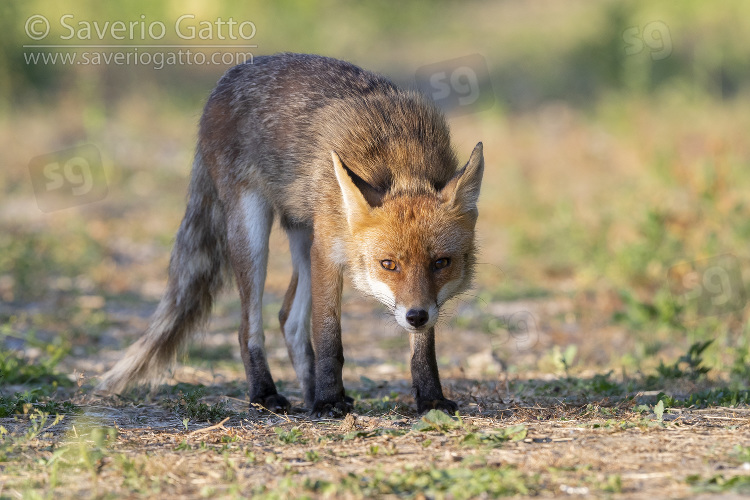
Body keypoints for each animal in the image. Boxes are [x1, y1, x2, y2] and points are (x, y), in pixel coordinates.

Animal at [97, 52, 484, 416]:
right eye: (388, 264)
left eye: (441, 263)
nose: (415, 316)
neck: (402, 159)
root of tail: (230, 77)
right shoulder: (328, 253)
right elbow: (328, 338)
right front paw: (329, 402)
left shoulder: (412, 294)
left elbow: (423, 349)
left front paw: (430, 399)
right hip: (254, 233)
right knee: (249, 326)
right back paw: (268, 393)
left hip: (304, 238)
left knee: (289, 320)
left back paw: (310, 394)